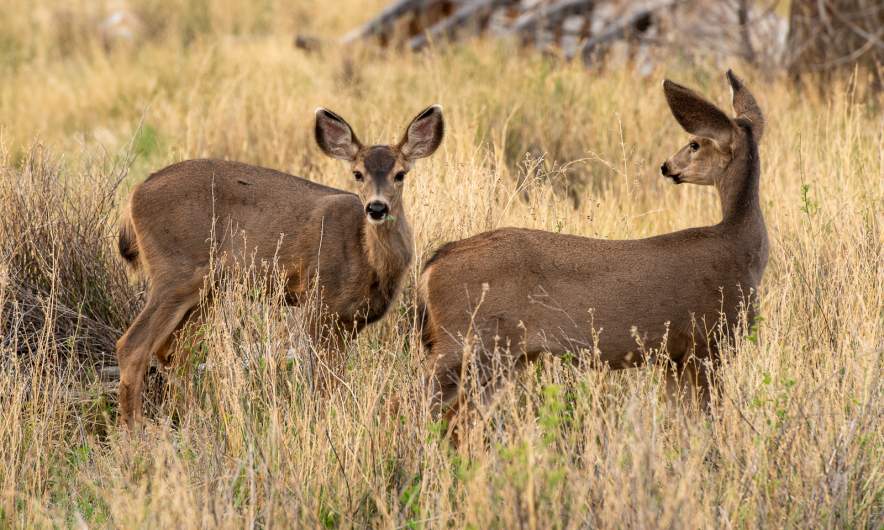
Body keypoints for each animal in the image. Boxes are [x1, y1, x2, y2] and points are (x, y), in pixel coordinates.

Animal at [115, 104, 444, 428]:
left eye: (400, 174)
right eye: (357, 173)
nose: (376, 208)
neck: (366, 258)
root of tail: (133, 196)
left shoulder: (351, 321)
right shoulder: (320, 304)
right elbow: (324, 381)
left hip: (209, 290)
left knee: (174, 350)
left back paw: (193, 418)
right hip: (176, 272)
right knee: (134, 345)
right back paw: (136, 429)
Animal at [418, 70, 767, 427]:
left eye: (695, 144)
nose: (667, 166)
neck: (741, 248)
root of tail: (433, 264)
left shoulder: (674, 355)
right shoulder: (707, 342)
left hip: (504, 358)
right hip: (467, 340)